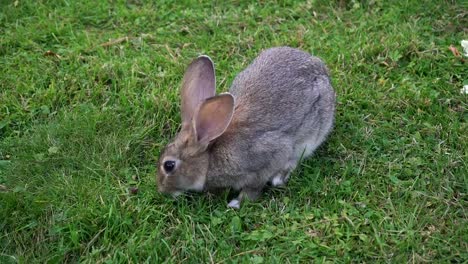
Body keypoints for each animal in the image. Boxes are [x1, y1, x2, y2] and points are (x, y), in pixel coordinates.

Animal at [157, 47, 336, 208]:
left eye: (169, 165)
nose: (161, 189)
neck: (209, 158)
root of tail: (321, 69)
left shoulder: (269, 157)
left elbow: (254, 187)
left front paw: (236, 203)